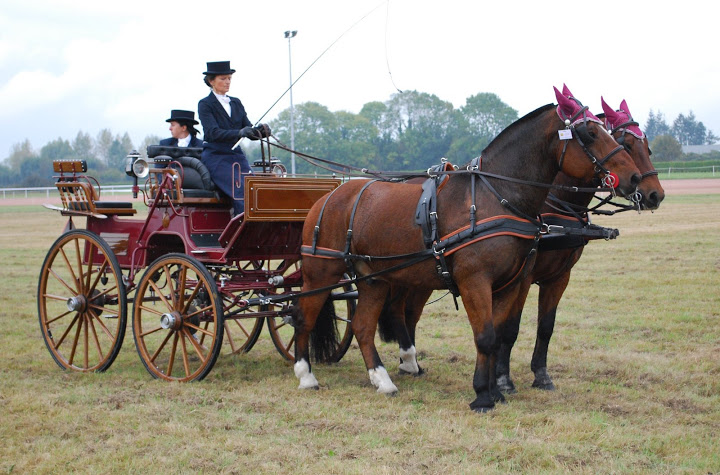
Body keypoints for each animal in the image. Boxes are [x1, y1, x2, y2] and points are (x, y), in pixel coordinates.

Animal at [292, 88, 640, 412]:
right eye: (590, 133)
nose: (636, 178)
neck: (496, 196)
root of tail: (329, 196)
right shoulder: (475, 281)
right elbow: (485, 336)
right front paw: (483, 396)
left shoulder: (511, 283)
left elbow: (498, 335)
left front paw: (497, 391)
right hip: (321, 272)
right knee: (303, 317)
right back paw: (306, 375)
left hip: (375, 278)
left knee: (363, 327)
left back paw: (383, 380)